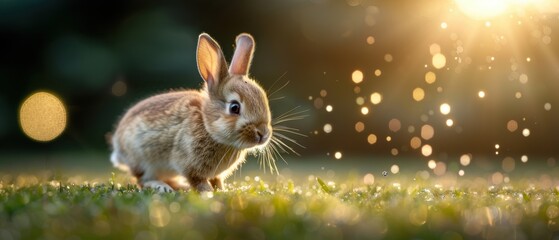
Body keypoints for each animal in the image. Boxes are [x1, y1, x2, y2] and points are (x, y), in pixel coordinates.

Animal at [110, 32, 272, 193]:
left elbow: (217, 180)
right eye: (234, 107)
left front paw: (222, 190)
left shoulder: (214, 174)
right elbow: (198, 181)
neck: (207, 126)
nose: (263, 134)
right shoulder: (189, 165)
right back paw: (163, 187)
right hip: (144, 162)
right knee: (143, 180)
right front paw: (208, 193)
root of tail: (118, 147)